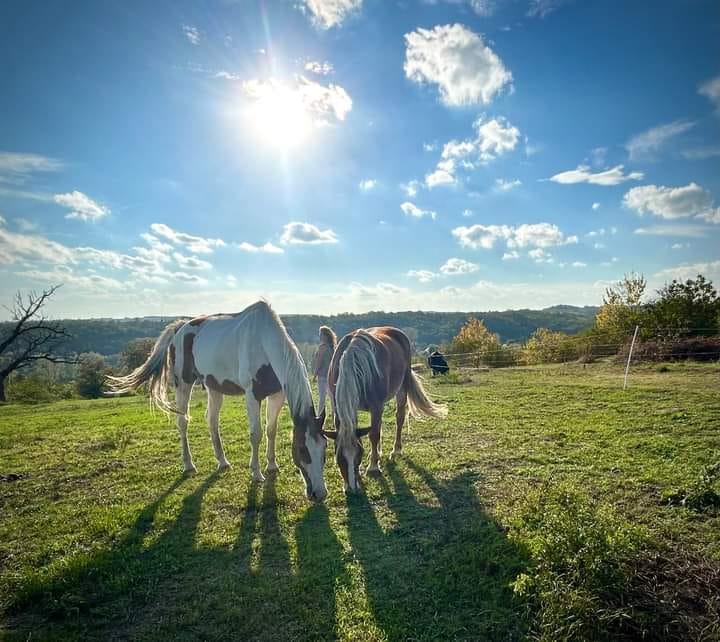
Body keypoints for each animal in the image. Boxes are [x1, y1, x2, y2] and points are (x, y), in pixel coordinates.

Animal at [324, 324, 448, 490]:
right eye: (338, 457)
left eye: (358, 455)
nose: (351, 489)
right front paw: (372, 459)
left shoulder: (376, 406)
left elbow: (373, 435)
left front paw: (373, 467)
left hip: (401, 389)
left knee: (399, 419)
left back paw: (396, 450)